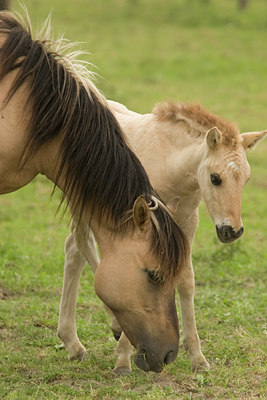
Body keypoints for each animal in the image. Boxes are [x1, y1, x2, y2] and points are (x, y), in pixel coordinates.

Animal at [59, 98, 266, 374]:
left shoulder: (186, 220)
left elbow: (186, 280)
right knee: (81, 244)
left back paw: (73, 344)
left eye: (246, 179)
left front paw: (197, 357)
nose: (232, 231)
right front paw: (123, 360)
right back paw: (108, 328)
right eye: (215, 178)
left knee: (74, 249)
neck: (169, 162)